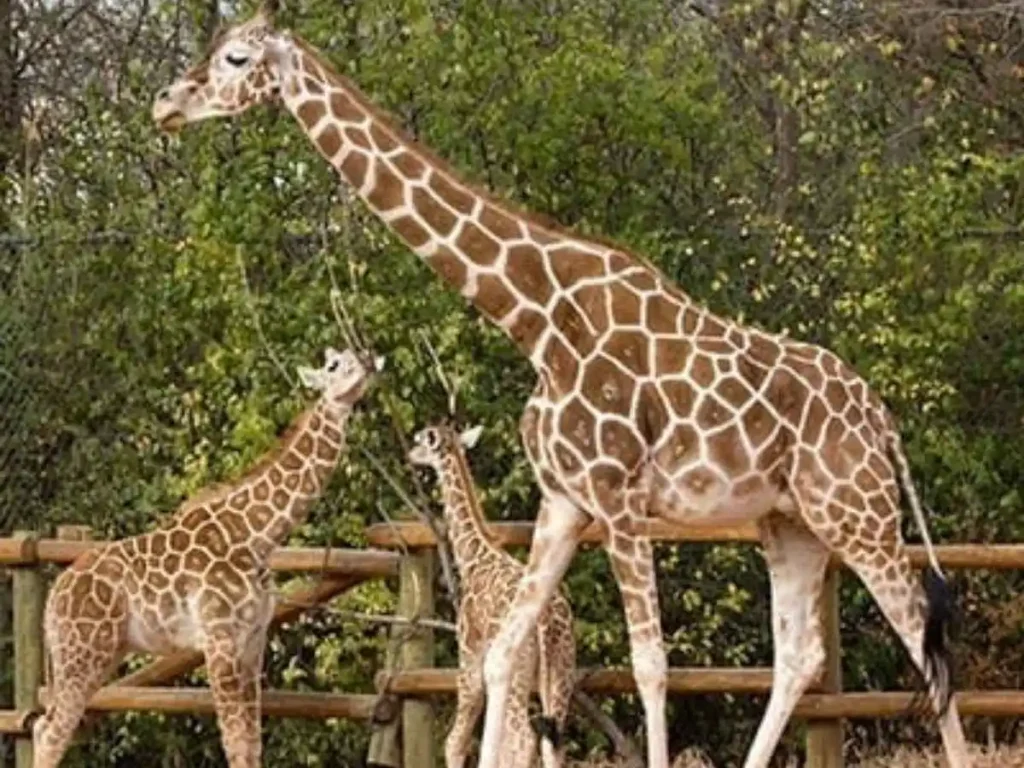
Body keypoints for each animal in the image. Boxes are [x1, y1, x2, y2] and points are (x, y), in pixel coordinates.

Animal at [33, 347, 382, 768]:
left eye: (356, 354)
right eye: (334, 365)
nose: (369, 359)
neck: (256, 536)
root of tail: (53, 600)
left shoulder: (254, 642)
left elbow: (250, 743)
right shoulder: (220, 640)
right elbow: (234, 742)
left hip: (100, 653)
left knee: (44, 726)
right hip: (82, 653)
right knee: (52, 732)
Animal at [408, 422, 575, 768]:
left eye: (421, 440)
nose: (409, 455)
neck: (472, 555)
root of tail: (548, 621)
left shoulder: (469, 655)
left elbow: (455, 743)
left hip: (515, 673)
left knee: (522, 739)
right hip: (560, 671)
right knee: (551, 743)